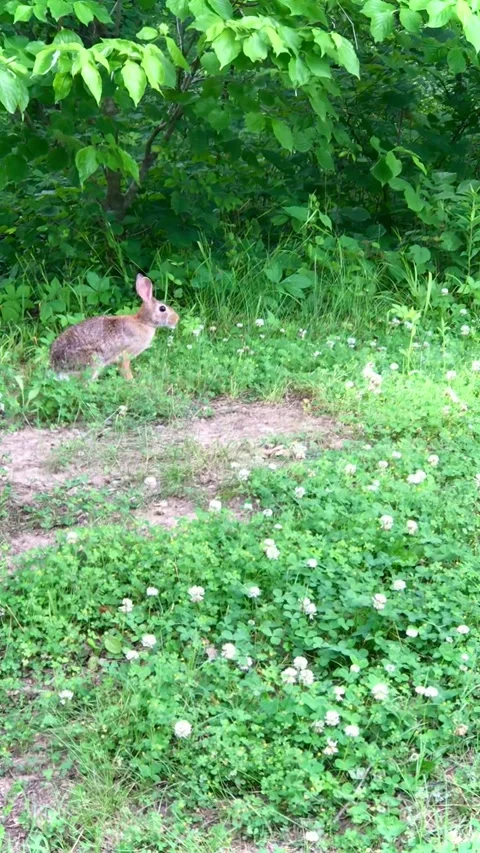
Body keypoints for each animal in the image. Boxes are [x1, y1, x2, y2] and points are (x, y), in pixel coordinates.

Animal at [50, 274, 179, 381]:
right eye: (162, 308)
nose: (177, 319)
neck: (143, 322)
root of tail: (56, 369)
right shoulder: (127, 353)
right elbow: (125, 368)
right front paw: (131, 381)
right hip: (94, 361)